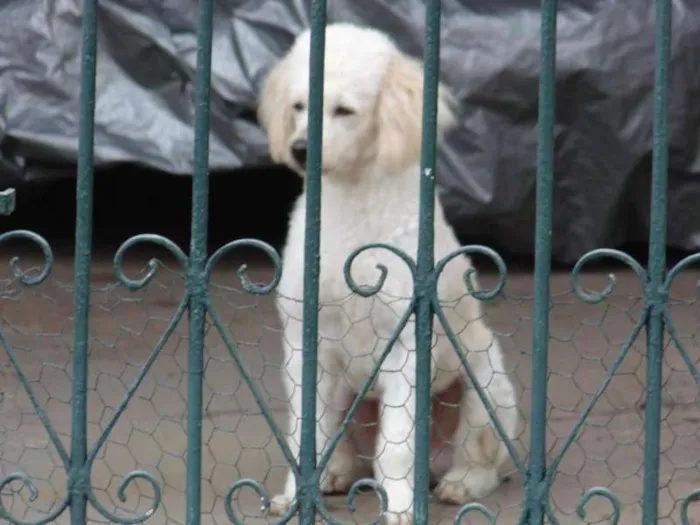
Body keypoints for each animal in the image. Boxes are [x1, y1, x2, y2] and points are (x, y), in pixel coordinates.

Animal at [258, 22, 520, 524]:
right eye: (299, 107)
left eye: (344, 110)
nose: (300, 150)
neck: (351, 204)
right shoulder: (305, 340)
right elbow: (305, 435)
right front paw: (298, 496)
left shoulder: (406, 344)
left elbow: (396, 447)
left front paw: (399, 505)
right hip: (347, 393)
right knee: (346, 451)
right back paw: (337, 475)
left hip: (485, 388)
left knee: (482, 463)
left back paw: (460, 482)